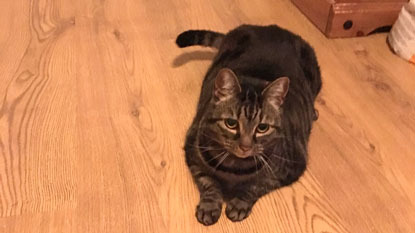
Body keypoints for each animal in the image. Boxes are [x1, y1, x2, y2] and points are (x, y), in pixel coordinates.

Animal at [177, 24, 324, 225]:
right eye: (231, 123)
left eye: (262, 128)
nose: (245, 146)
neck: (233, 169)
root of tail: (272, 28)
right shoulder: (192, 151)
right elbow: (208, 181)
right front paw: (209, 205)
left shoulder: (292, 166)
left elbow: (257, 185)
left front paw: (239, 203)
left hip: (316, 79)